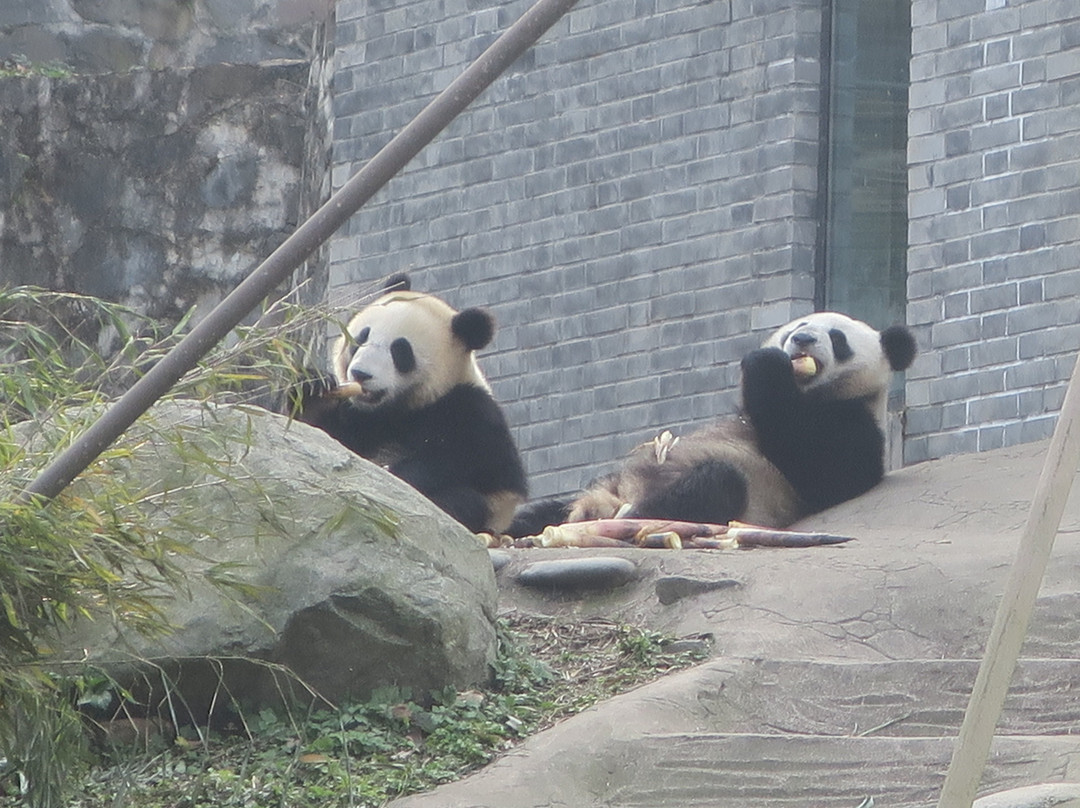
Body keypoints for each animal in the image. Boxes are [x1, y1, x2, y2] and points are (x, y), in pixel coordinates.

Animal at [291, 278, 527, 535]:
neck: (399, 408)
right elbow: (321, 437)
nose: (360, 374)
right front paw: (314, 386)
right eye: (361, 338)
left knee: (464, 501)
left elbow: (474, 460)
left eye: (400, 351)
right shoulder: (357, 417)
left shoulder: (469, 407)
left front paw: (395, 474)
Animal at [509, 311, 915, 535]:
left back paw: (636, 515)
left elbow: (823, 468)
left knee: (715, 484)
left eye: (837, 338)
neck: (814, 394)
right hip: (604, 487)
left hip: (745, 498)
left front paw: (765, 365)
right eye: (798, 325)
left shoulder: (854, 424)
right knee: (550, 508)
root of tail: (615, 501)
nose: (801, 339)